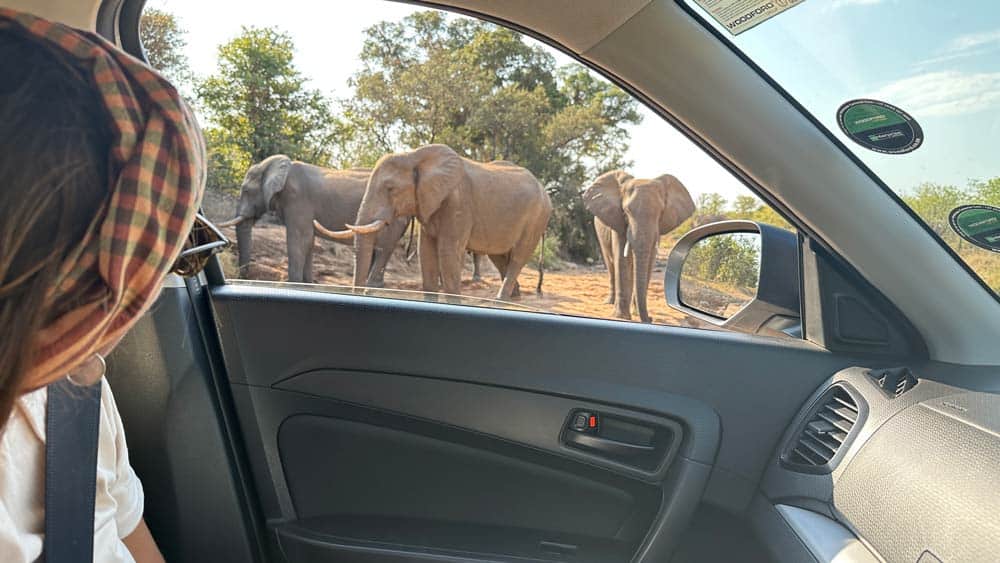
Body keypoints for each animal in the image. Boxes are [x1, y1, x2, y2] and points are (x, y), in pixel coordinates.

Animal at [217, 155, 409, 284]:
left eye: (246, 191)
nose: (242, 276)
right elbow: (308, 241)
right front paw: (307, 284)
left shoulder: (297, 200)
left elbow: (299, 240)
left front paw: (294, 284)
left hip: (394, 219)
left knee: (383, 250)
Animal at [313, 144, 552, 300]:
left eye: (390, 189)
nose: (361, 294)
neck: (415, 156)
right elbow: (425, 252)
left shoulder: (457, 202)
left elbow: (447, 252)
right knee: (499, 256)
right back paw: (513, 298)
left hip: (537, 218)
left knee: (518, 257)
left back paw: (501, 299)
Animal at [582, 170, 695, 323]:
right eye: (626, 211)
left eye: (661, 212)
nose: (650, 319)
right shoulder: (617, 220)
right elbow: (621, 259)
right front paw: (621, 317)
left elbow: (649, 262)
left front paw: (635, 313)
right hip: (599, 231)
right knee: (611, 264)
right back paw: (610, 302)